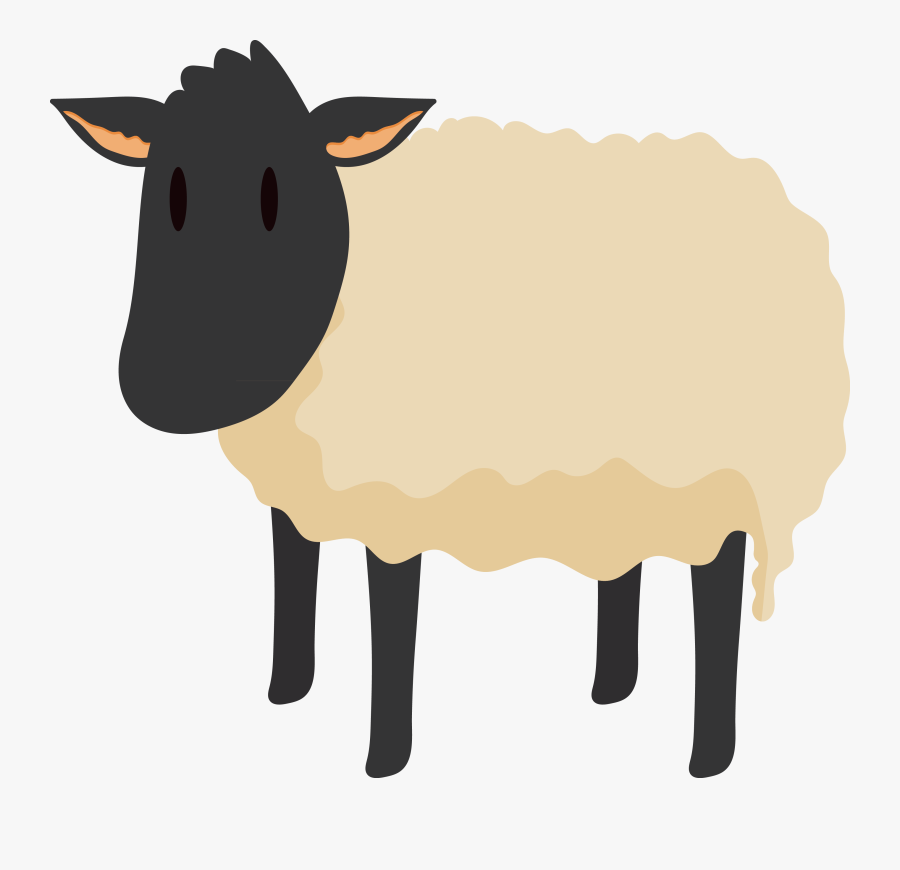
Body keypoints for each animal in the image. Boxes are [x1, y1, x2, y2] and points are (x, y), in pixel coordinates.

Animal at [52, 40, 849, 779]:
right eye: (167, 187)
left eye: (278, 191)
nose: (172, 389)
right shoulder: (298, 487)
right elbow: (293, 576)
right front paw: (287, 693)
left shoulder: (393, 500)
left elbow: (390, 627)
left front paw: (384, 758)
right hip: (635, 476)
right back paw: (611, 689)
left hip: (726, 479)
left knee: (716, 597)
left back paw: (708, 756)